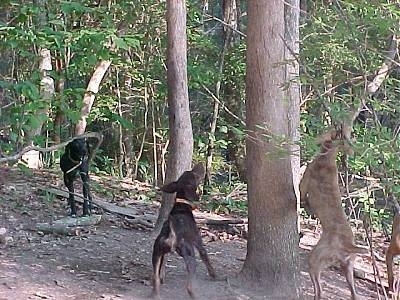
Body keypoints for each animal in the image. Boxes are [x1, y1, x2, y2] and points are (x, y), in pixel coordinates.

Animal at [151, 163, 216, 298]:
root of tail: (172, 235)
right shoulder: (198, 242)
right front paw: (214, 275)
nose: (200, 164)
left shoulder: (162, 254)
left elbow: (163, 265)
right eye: (195, 176)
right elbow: (206, 257)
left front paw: (162, 275)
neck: (181, 205)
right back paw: (195, 295)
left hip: (156, 254)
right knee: (189, 287)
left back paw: (156, 294)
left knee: (155, 278)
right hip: (191, 257)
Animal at [300, 129, 368, 300]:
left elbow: (301, 195)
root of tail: (348, 245)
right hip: (347, 268)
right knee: (353, 294)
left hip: (315, 259)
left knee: (319, 290)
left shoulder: (304, 181)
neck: (328, 157)